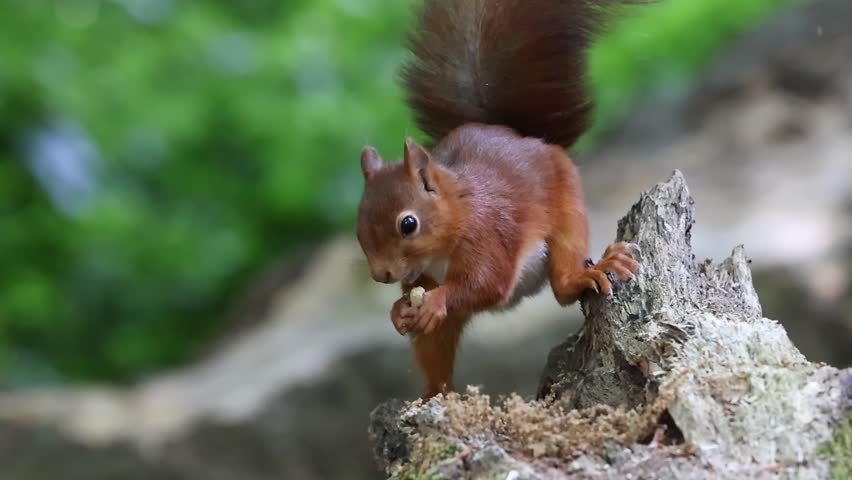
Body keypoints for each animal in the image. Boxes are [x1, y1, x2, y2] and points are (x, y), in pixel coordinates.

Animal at [356, 0, 641, 399]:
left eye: (408, 224)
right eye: (359, 226)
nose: (381, 274)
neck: (459, 211)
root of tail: (517, 135)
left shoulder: (488, 233)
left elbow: (486, 283)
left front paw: (438, 299)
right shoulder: (422, 275)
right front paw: (399, 311)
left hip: (566, 204)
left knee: (563, 281)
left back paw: (586, 273)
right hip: (443, 331)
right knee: (435, 346)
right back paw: (433, 394)